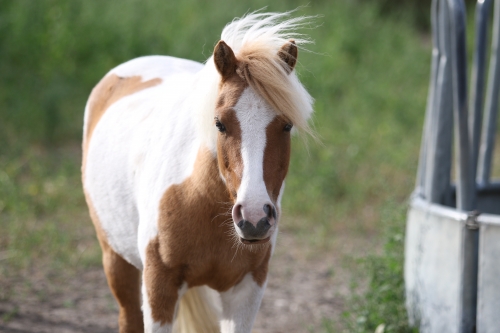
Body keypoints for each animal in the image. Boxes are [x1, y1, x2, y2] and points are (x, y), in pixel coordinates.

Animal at [82, 11, 314, 332]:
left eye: (287, 125)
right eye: (219, 123)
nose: (254, 218)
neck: (196, 197)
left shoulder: (247, 289)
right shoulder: (158, 287)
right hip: (116, 261)